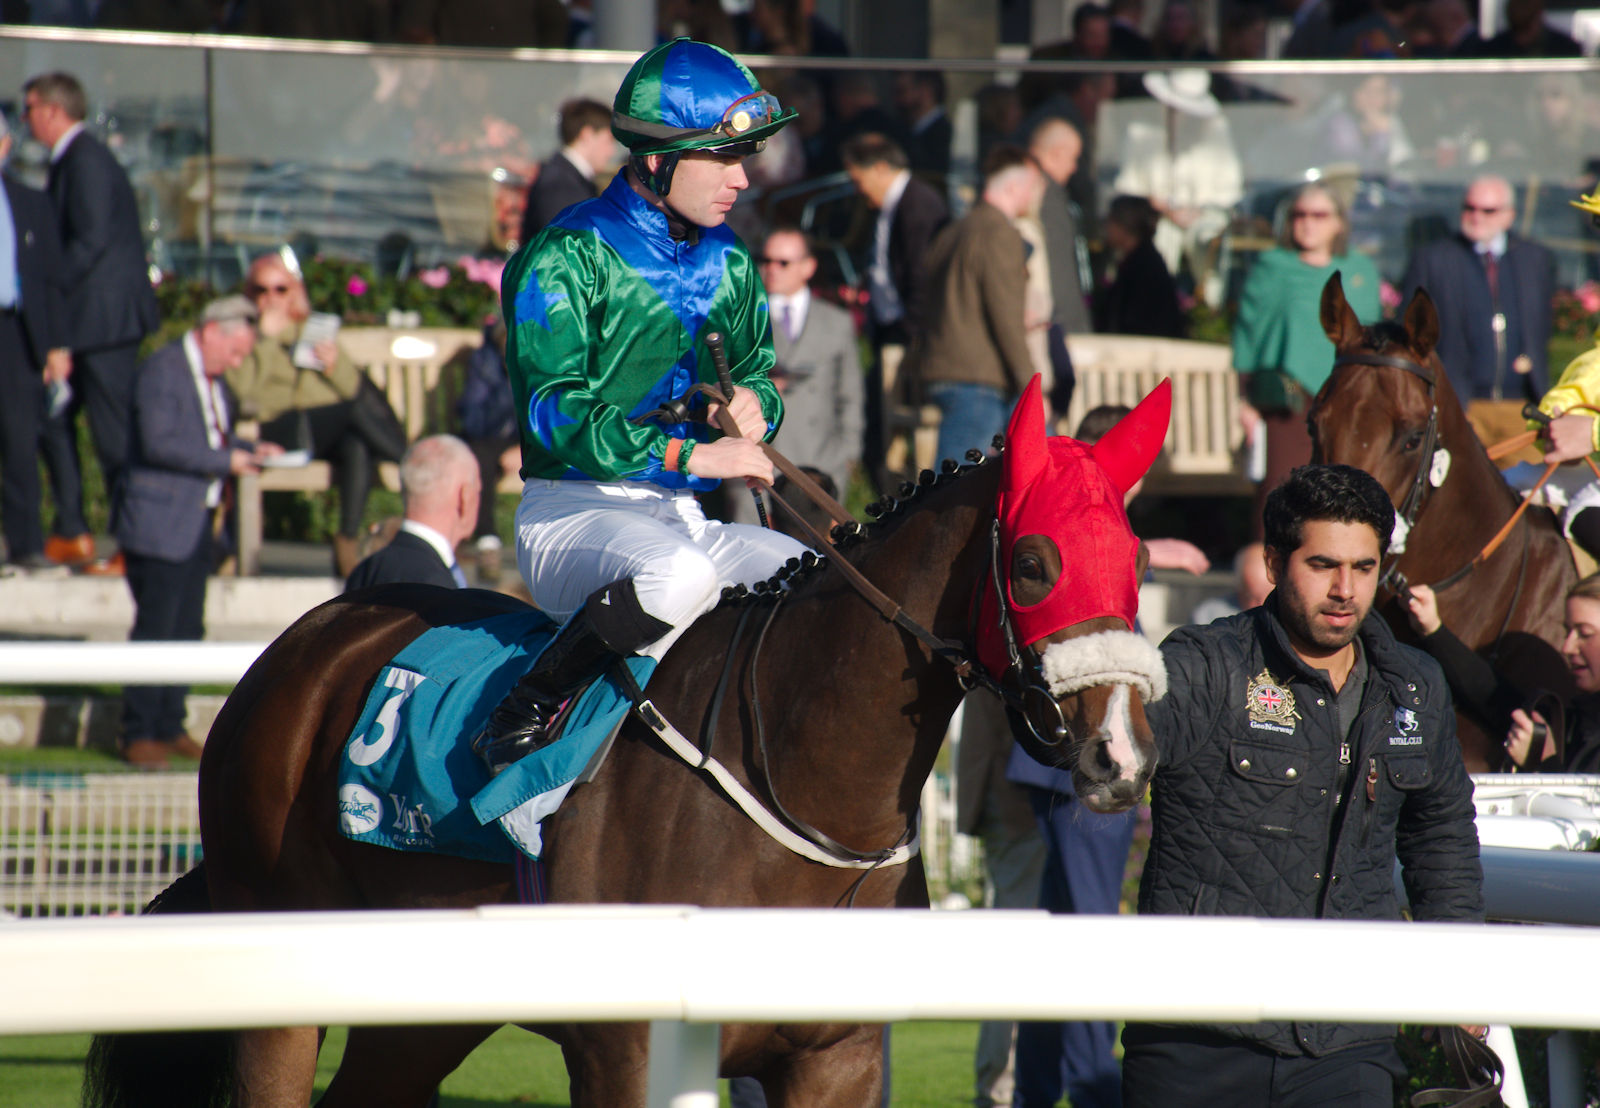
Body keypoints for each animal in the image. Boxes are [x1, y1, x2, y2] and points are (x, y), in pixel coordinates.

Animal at [84, 377, 1171, 1108]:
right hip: (279, 971)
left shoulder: (837, 1054)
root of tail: (301, 643)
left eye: (1138, 554)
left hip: (426, 1004)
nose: (1120, 755)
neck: (799, 783)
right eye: (1032, 562)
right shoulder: (626, 1048)